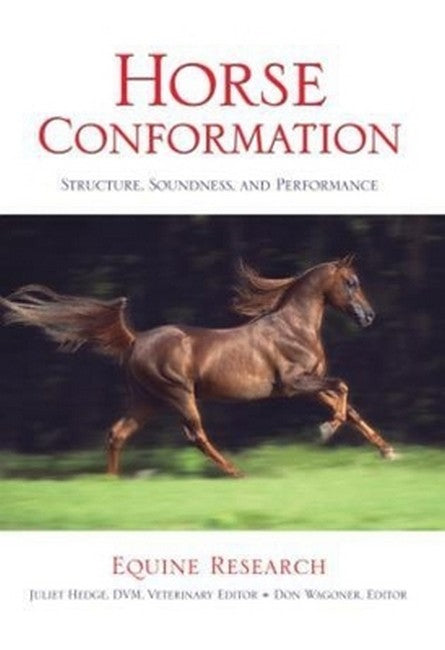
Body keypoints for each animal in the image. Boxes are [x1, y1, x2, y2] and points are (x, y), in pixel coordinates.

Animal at [0, 255, 396, 477]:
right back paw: (237, 472)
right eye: (351, 282)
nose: (369, 316)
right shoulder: (293, 384)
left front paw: (388, 450)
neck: (294, 327)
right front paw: (326, 430)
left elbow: (350, 407)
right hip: (178, 395)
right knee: (195, 436)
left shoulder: (311, 384)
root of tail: (134, 340)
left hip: (147, 401)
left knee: (117, 434)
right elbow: (343, 387)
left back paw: (111, 482)